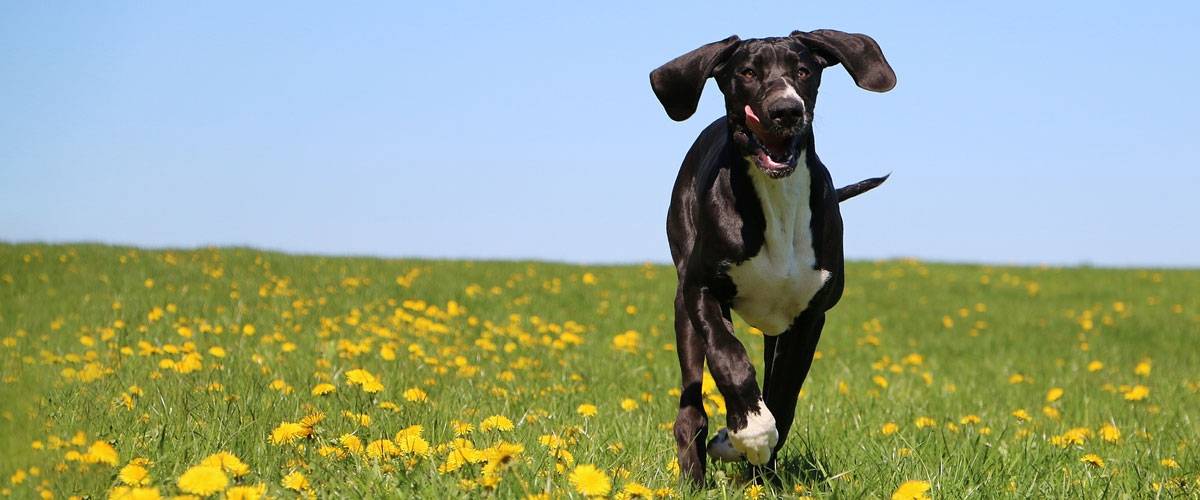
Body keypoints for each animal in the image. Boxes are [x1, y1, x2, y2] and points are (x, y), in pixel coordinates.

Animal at [652, 29, 897, 482]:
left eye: (803, 70)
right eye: (747, 72)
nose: (786, 110)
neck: (777, 197)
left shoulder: (808, 318)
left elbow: (784, 394)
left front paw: (746, 445)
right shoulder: (702, 289)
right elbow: (730, 360)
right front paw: (749, 431)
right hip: (683, 303)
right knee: (691, 408)